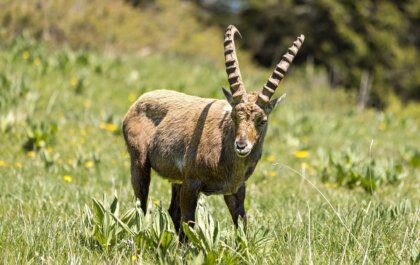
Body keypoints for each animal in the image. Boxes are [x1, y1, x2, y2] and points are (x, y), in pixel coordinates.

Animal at [123, 25, 304, 239]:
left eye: (262, 120)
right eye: (234, 116)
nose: (241, 145)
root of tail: (137, 102)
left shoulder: (235, 189)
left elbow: (241, 223)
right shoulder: (191, 183)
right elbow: (188, 225)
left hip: (176, 179)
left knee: (172, 211)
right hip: (139, 163)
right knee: (141, 206)